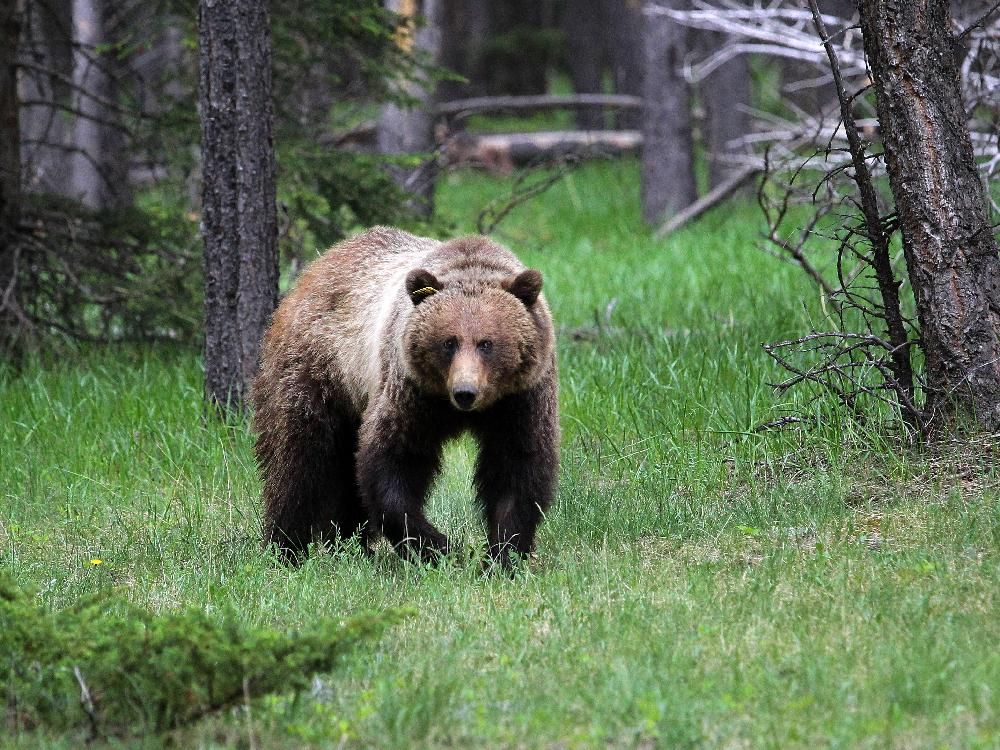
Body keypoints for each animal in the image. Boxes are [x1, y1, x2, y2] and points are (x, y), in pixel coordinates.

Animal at [250, 229, 560, 568]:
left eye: (486, 343)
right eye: (449, 342)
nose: (465, 393)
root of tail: (315, 268)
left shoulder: (519, 400)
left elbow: (518, 467)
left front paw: (503, 556)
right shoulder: (410, 392)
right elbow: (392, 459)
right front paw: (442, 548)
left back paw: (350, 546)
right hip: (319, 372)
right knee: (299, 462)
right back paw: (285, 548)